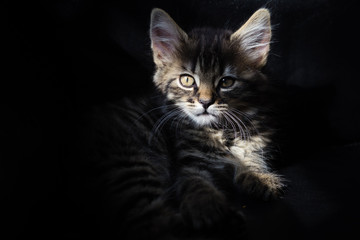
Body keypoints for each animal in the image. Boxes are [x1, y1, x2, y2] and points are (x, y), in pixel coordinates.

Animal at [80, 7, 286, 240]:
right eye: (187, 80)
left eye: (226, 82)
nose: (205, 102)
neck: (222, 129)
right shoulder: (188, 163)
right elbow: (198, 186)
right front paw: (208, 209)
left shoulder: (254, 145)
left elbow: (251, 158)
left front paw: (261, 177)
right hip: (131, 164)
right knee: (153, 223)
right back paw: (226, 222)